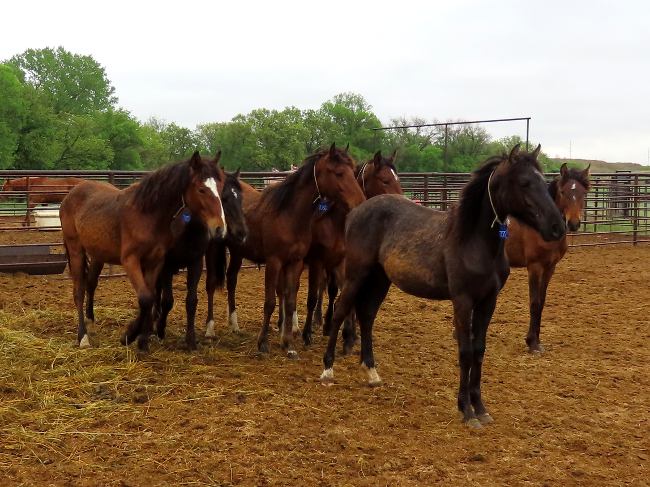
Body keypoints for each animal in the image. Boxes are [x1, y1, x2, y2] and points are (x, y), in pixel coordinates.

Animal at [58, 152, 225, 350]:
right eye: (201, 189)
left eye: (220, 186)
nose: (219, 228)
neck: (147, 214)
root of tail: (70, 194)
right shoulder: (131, 261)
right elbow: (145, 298)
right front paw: (130, 335)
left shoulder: (156, 262)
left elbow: (151, 297)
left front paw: (142, 339)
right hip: (76, 250)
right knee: (79, 291)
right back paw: (83, 336)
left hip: (98, 254)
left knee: (91, 284)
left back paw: (91, 323)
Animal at [202, 145, 364, 358]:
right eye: (338, 173)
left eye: (353, 171)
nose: (360, 202)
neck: (288, 215)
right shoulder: (275, 262)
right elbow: (270, 301)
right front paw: (263, 343)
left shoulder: (295, 262)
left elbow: (290, 300)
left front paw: (288, 343)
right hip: (213, 249)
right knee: (211, 285)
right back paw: (210, 330)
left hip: (237, 252)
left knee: (231, 281)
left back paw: (234, 325)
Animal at [322, 145, 564, 428]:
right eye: (524, 183)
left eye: (542, 181)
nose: (557, 227)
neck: (472, 241)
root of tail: (355, 211)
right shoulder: (463, 301)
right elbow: (466, 352)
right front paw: (466, 411)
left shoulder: (488, 301)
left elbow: (479, 350)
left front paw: (480, 408)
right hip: (356, 275)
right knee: (340, 311)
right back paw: (327, 370)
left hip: (380, 279)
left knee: (367, 315)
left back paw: (372, 373)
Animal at [504, 162, 588, 352]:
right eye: (563, 192)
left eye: (584, 193)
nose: (573, 223)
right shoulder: (534, 266)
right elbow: (534, 302)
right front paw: (532, 344)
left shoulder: (550, 267)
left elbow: (542, 301)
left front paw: (537, 340)